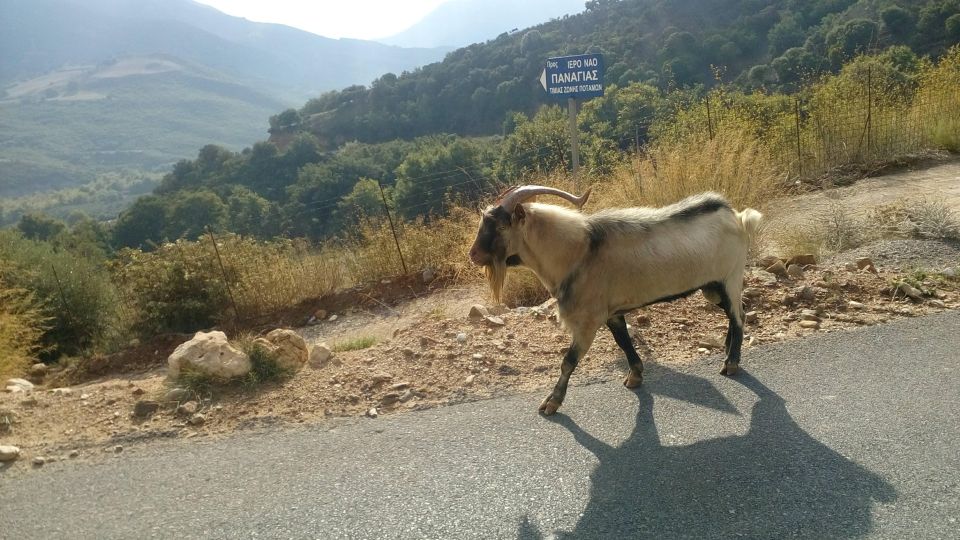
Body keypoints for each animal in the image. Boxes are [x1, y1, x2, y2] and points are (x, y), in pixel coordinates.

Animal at [468, 184, 760, 416]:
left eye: (501, 225)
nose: (474, 255)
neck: (580, 252)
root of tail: (738, 217)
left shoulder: (587, 322)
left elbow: (568, 361)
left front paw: (552, 403)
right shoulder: (612, 313)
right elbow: (623, 342)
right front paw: (635, 376)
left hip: (730, 277)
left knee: (738, 315)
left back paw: (731, 363)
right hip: (711, 288)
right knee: (736, 313)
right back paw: (727, 349)